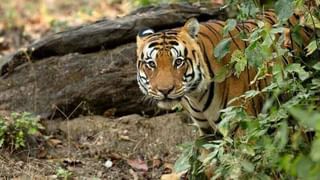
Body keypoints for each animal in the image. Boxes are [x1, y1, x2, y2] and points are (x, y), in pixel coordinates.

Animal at [135, 9, 312, 136]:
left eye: (178, 62)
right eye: (151, 64)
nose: (164, 91)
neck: (196, 96)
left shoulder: (241, 123)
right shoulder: (206, 131)